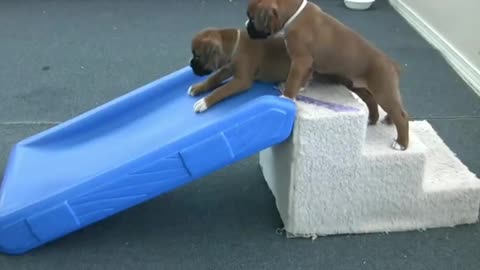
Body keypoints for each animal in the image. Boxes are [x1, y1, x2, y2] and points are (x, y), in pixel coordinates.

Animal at [188, 26, 378, 124]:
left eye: (197, 55)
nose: (190, 65)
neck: (234, 46)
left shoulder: (242, 80)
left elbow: (220, 91)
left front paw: (204, 102)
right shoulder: (226, 69)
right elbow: (213, 79)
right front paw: (198, 88)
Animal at [246, 0, 410, 150]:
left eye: (252, 18)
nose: (246, 25)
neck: (294, 14)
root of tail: (392, 64)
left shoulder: (300, 61)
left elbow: (293, 80)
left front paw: (286, 97)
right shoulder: (308, 64)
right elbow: (304, 78)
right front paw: (301, 88)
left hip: (383, 92)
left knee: (401, 116)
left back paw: (401, 143)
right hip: (359, 87)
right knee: (372, 101)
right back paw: (373, 119)